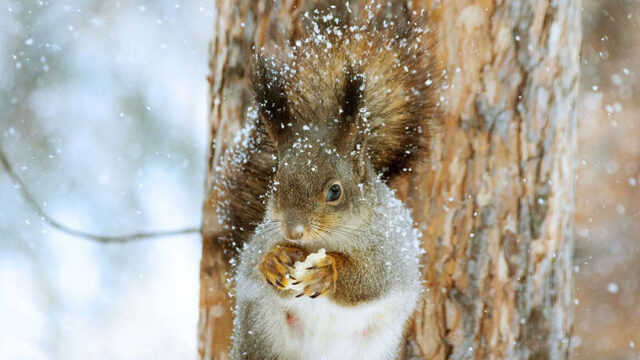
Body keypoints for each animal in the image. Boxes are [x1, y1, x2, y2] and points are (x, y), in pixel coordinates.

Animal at [228, 7, 442, 360]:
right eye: (275, 184)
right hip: (260, 334)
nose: (293, 232)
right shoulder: (260, 240)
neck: (324, 240)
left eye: (334, 191)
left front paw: (328, 272)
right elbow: (252, 264)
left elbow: (372, 279)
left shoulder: (391, 250)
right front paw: (273, 261)